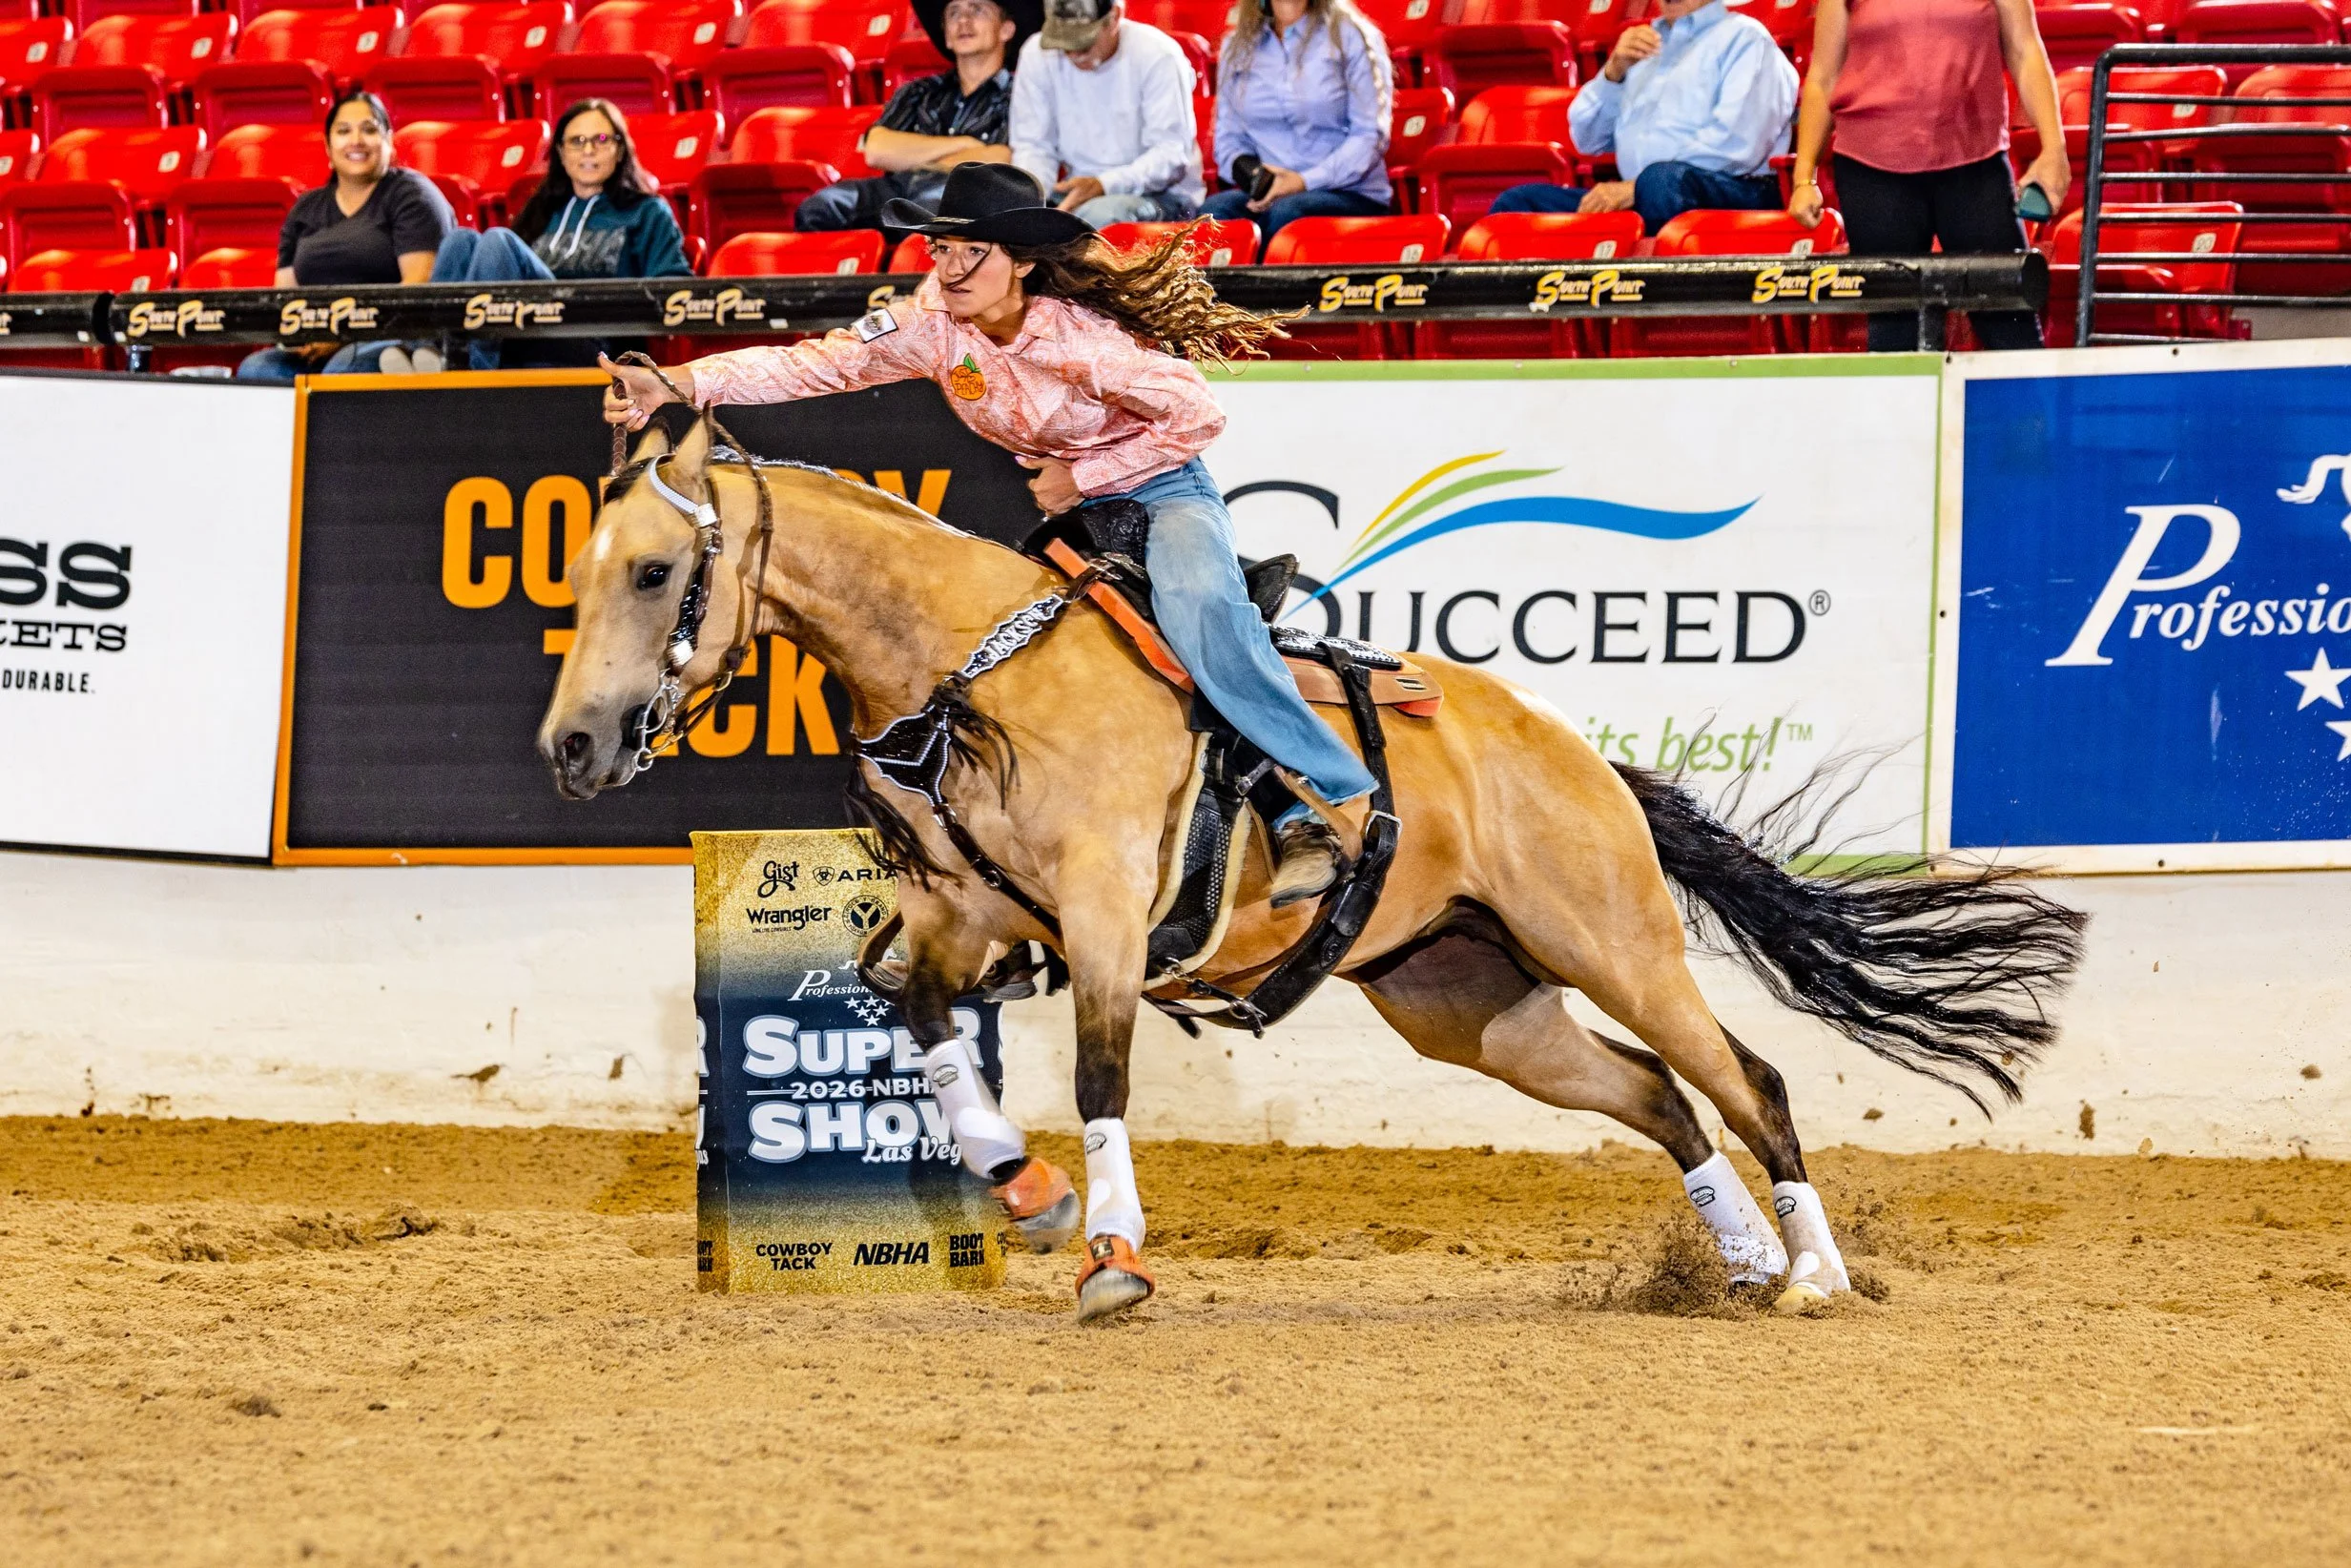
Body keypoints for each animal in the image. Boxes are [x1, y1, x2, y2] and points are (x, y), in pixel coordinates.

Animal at [538, 412, 2086, 1320]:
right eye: (584, 564)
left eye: (656, 573)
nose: (574, 743)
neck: (981, 676)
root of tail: (1581, 758)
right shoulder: (955, 921)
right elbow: (917, 1029)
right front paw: (1028, 1198)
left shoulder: (1106, 919)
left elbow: (1099, 1077)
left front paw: (1113, 1258)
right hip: (1472, 1005)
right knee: (1655, 1095)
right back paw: (1745, 1262)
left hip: (1614, 944)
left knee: (1744, 1078)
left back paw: (1815, 1273)